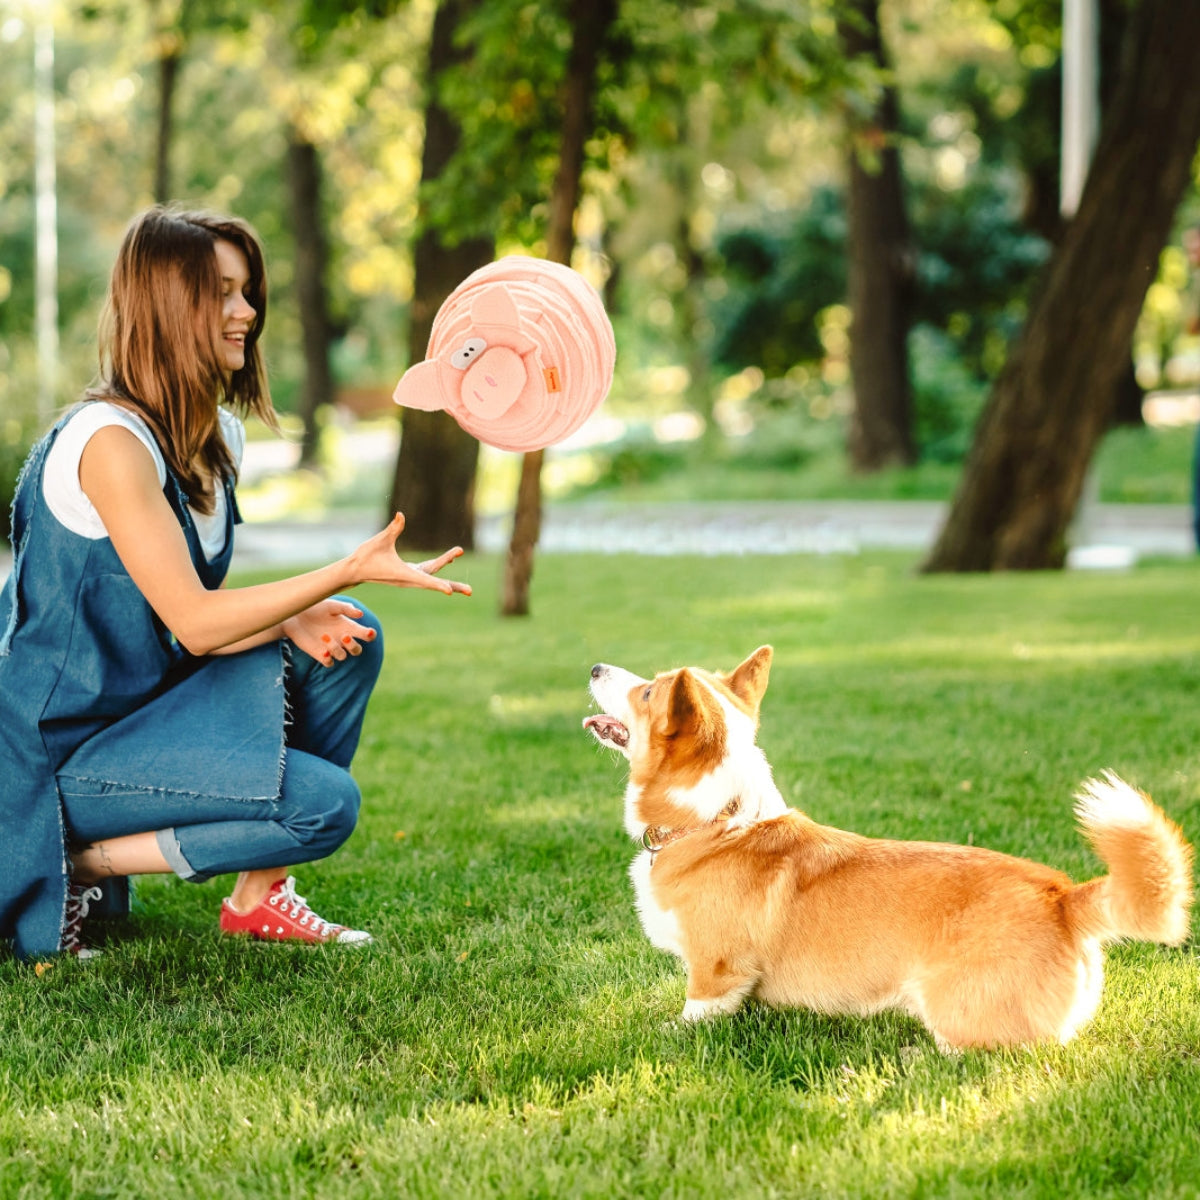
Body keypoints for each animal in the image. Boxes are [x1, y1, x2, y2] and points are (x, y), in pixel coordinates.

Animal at [580, 648, 1190, 1051]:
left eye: (648, 692)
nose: (594, 666)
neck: (716, 822)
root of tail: (1064, 897)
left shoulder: (716, 970)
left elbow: (694, 1012)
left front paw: (665, 1033)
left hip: (952, 1003)